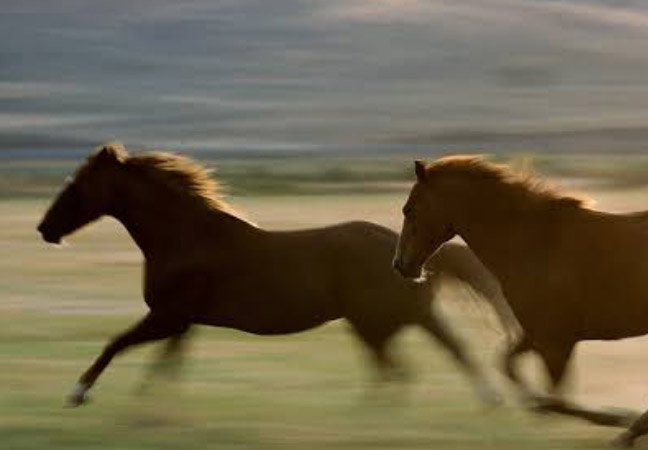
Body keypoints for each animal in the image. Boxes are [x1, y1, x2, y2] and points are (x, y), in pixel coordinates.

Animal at [37, 143, 513, 410]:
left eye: (76, 185)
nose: (45, 229)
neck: (186, 238)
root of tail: (410, 256)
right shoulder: (181, 324)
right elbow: (164, 367)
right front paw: (149, 410)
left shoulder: (168, 317)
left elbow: (116, 344)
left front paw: (77, 394)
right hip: (397, 319)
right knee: (428, 359)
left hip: (376, 322)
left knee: (409, 365)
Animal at [393, 155, 648, 447]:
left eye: (409, 209)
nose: (399, 265)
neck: (535, 244)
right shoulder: (537, 335)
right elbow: (507, 364)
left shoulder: (556, 342)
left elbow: (556, 402)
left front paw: (619, 419)